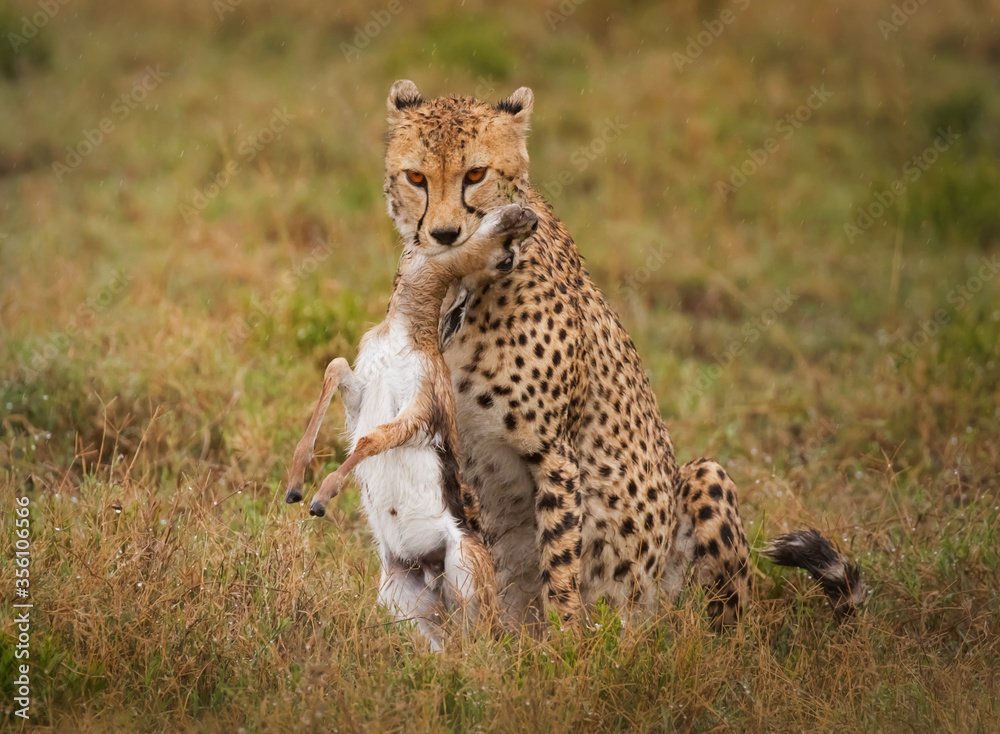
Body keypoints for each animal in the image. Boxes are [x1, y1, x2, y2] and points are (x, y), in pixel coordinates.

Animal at [380, 79, 865, 630]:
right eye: (416, 177)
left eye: (475, 174)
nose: (444, 235)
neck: (460, 285)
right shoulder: (456, 454)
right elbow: (479, 555)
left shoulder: (555, 454)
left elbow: (560, 559)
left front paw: (564, 642)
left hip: (701, 489)